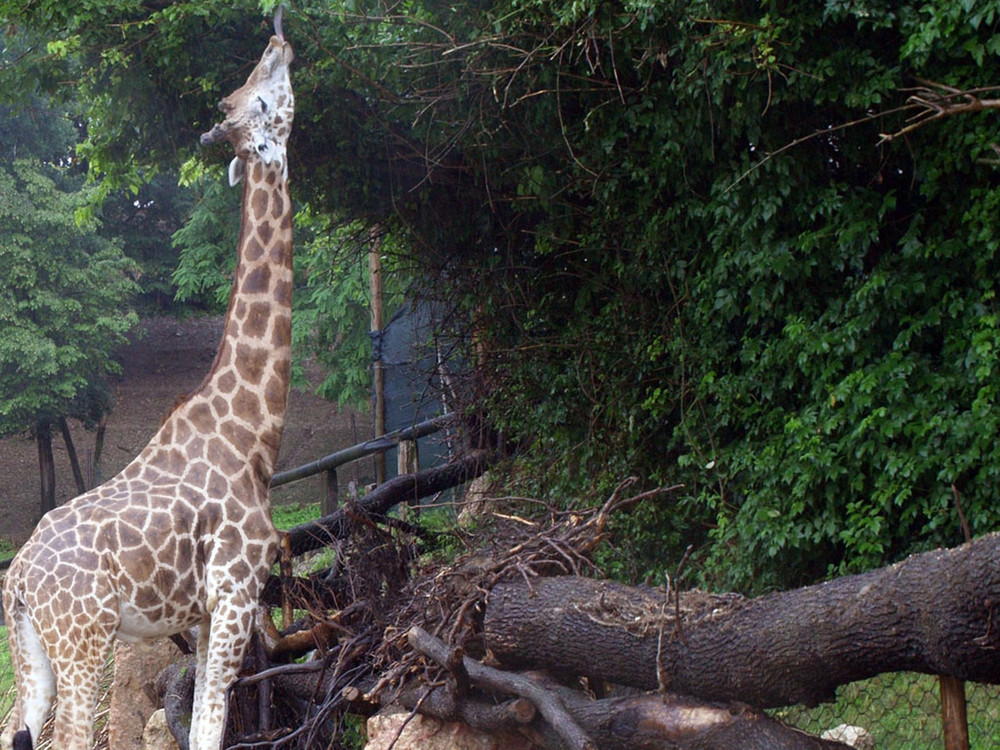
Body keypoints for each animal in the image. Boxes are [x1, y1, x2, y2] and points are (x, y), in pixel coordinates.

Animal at [0, 11, 292, 750]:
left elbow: (203, 725)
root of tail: (16, 578)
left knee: (17, 728)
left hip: (33, 651)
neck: (253, 433)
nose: (279, 35)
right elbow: (211, 724)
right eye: (264, 96)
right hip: (84, 637)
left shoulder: (203, 610)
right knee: (74, 736)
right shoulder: (237, 590)